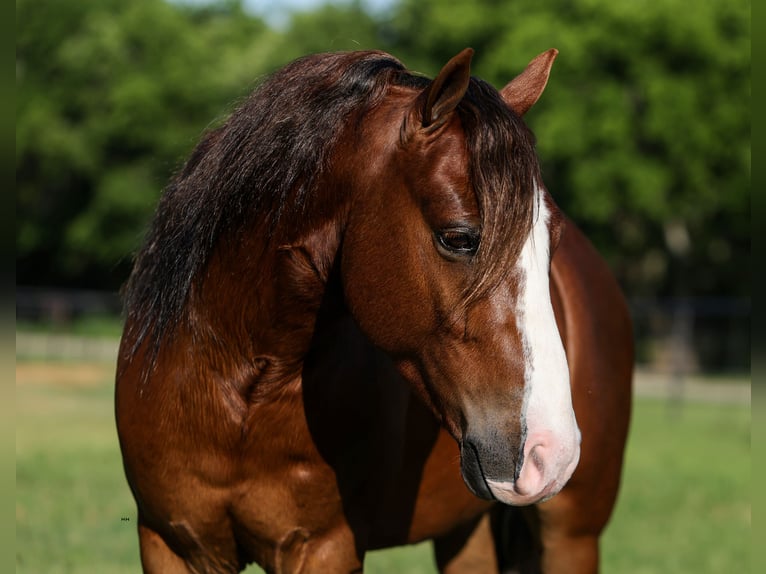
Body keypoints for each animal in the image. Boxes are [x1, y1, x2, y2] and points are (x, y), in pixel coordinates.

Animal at [115, 47, 633, 573]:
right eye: (458, 238)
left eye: (552, 239)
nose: (551, 452)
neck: (237, 389)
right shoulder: (171, 544)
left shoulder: (325, 548)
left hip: (571, 538)